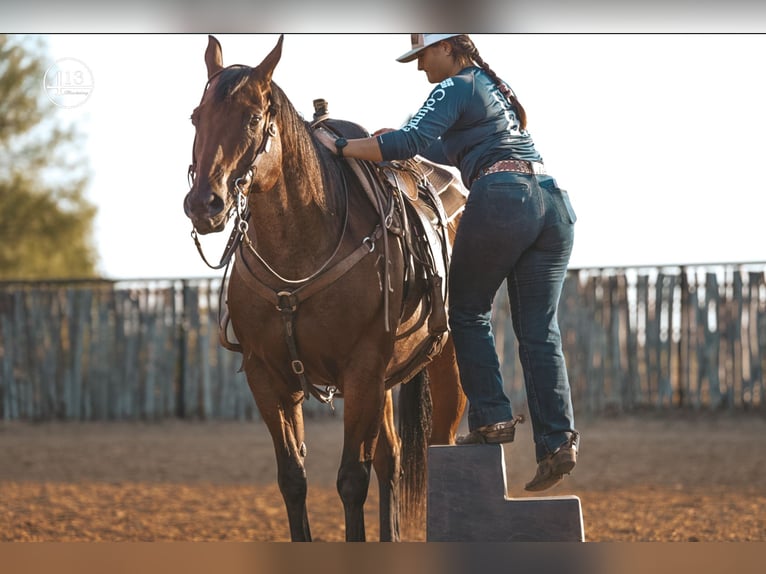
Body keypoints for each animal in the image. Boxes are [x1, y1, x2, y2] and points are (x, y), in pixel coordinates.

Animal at [184, 36, 468, 544]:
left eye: (253, 118)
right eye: (197, 116)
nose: (205, 204)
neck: (299, 252)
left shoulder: (361, 373)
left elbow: (351, 479)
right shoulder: (267, 377)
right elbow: (293, 479)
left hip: (445, 362)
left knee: (439, 447)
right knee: (391, 456)